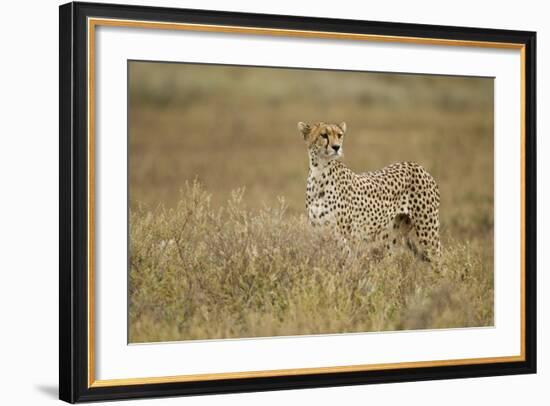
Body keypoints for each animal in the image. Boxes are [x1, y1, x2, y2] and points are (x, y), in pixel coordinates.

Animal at [300, 120, 442, 260]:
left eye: (339, 135)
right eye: (324, 135)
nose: (336, 147)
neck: (320, 172)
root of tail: (418, 166)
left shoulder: (343, 236)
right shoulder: (318, 231)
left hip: (427, 231)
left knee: (440, 258)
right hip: (392, 236)